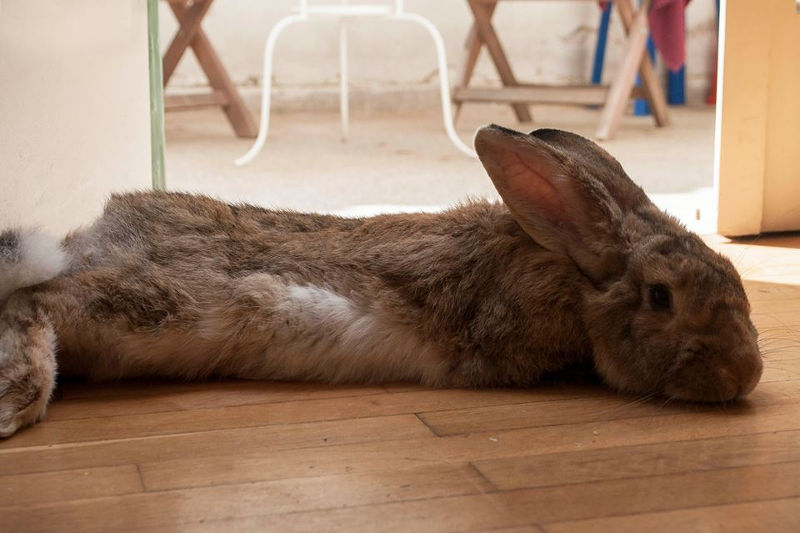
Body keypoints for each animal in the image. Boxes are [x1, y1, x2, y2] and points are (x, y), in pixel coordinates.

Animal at [0, 125, 764, 436]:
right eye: (662, 296)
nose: (746, 376)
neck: (574, 277)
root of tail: (84, 243)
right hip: (154, 305)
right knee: (31, 301)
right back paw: (17, 404)